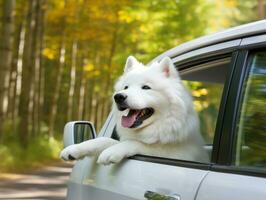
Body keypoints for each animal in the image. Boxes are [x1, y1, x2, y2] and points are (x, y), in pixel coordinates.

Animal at [60, 55, 210, 164]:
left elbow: (140, 144)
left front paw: (111, 152)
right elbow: (103, 140)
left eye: (146, 87)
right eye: (125, 87)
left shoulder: (173, 154)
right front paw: (74, 149)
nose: (118, 97)